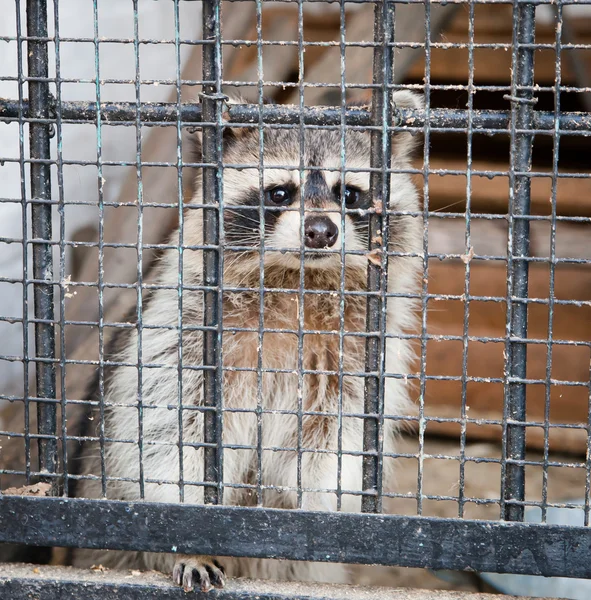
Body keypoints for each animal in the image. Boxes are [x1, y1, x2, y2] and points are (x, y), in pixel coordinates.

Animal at [71, 91, 426, 592]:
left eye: (349, 194)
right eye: (280, 193)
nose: (321, 231)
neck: (298, 282)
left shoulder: (359, 358)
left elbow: (336, 441)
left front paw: (321, 504)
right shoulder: (183, 331)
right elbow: (168, 433)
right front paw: (190, 535)